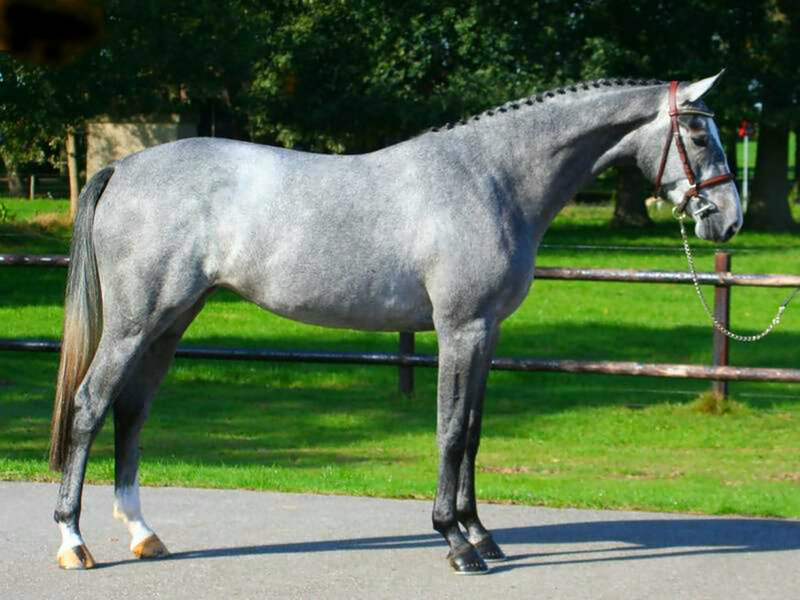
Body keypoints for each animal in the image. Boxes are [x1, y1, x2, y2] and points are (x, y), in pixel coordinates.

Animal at [50, 73, 741, 574]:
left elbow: (473, 434)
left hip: (170, 321)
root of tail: (124, 167)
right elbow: (450, 432)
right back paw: (73, 542)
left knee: (131, 411)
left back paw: (144, 533)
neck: (493, 177)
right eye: (698, 134)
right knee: (89, 406)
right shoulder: (461, 328)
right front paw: (455, 543)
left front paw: (481, 534)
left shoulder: (486, 332)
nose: (728, 219)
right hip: (136, 323)